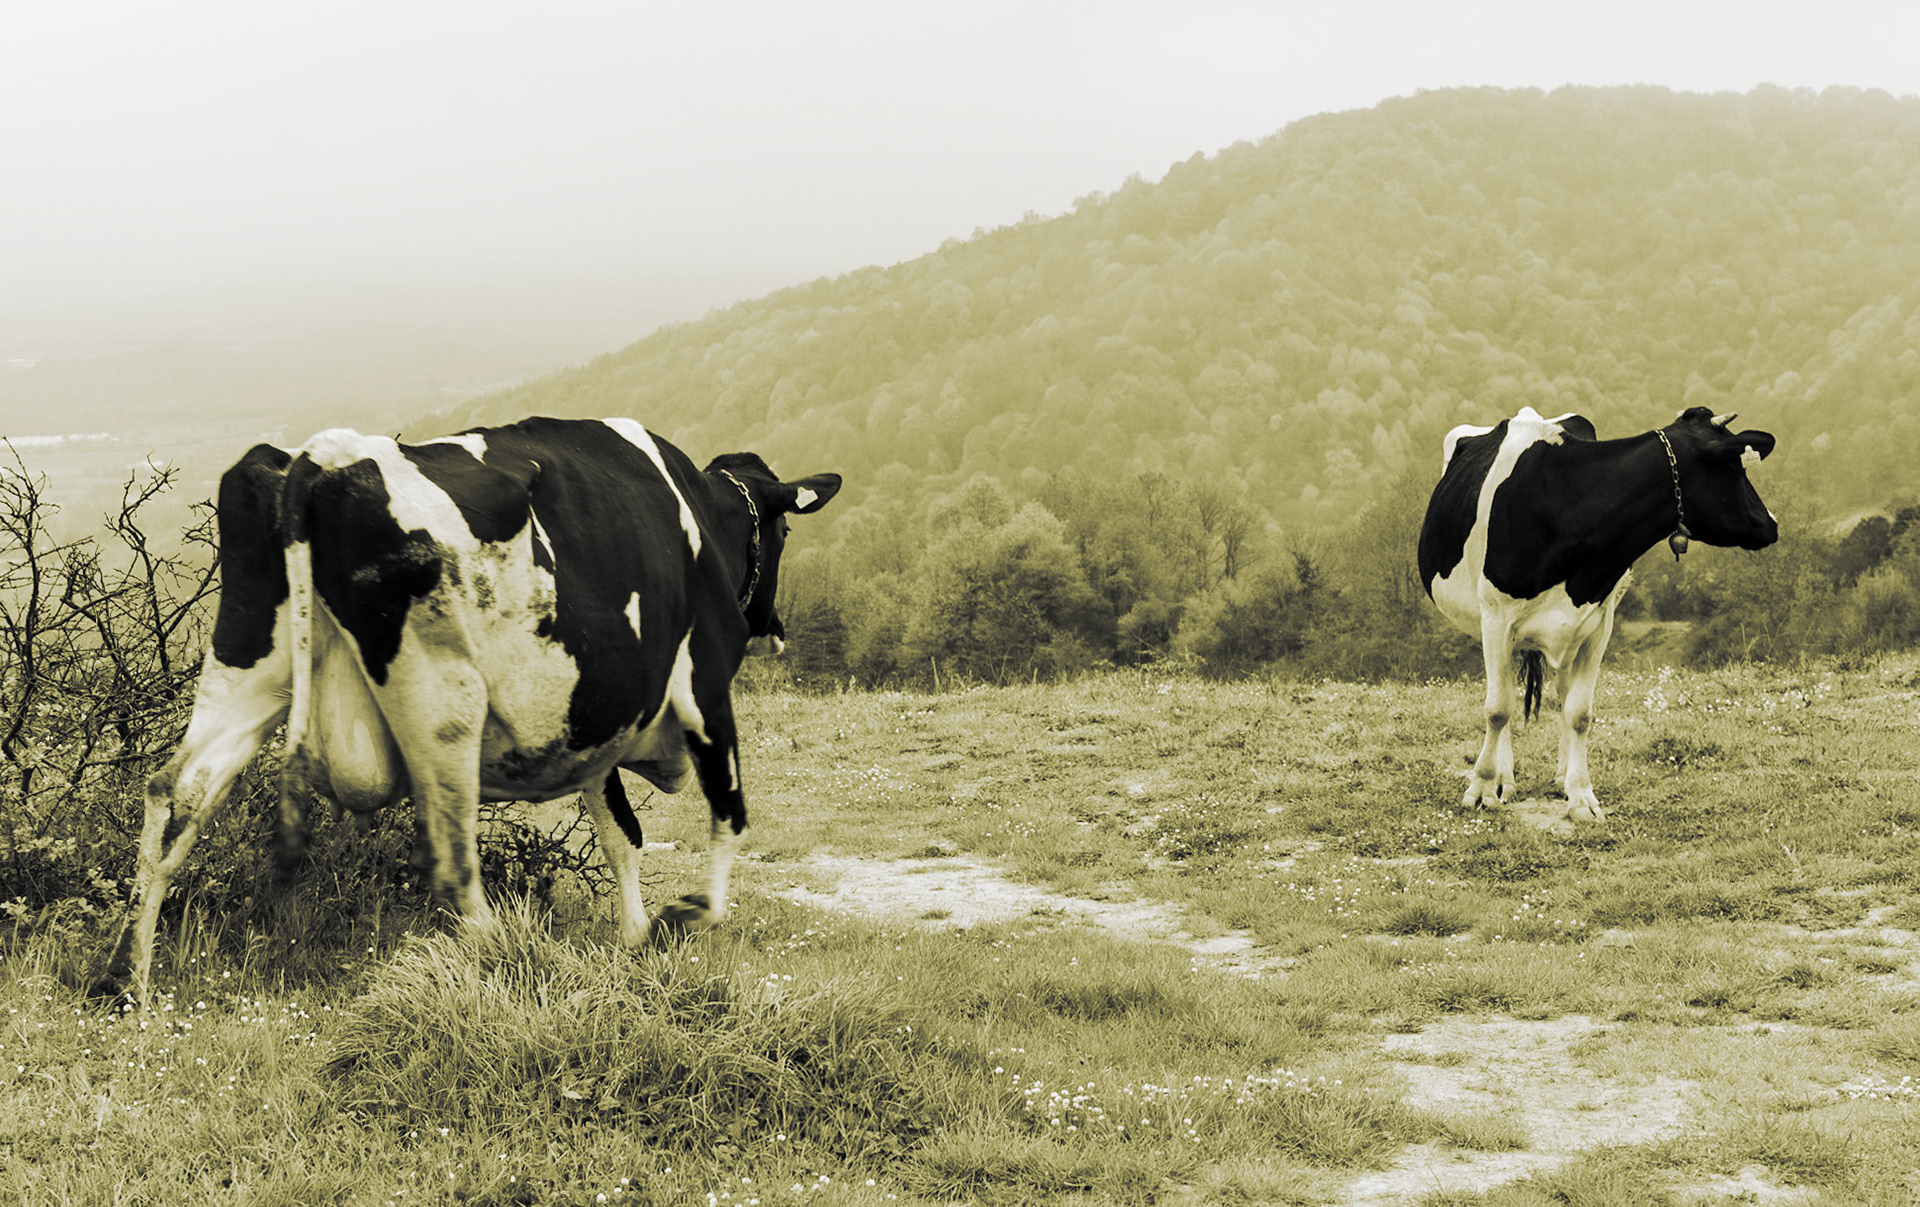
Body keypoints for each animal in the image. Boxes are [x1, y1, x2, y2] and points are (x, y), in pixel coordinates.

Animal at [101, 416, 840, 1001]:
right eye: (780, 534)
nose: (772, 621)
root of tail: (325, 457)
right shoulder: (704, 688)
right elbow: (728, 822)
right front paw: (677, 920)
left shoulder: (591, 722)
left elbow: (621, 834)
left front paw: (634, 940)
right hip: (445, 702)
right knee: (456, 873)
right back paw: (518, 975)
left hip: (247, 668)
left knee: (173, 795)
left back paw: (126, 982)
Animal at [1417, 405, 1777, 821]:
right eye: (1736, 468)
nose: (1771, 523)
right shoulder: (1496, 616)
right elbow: (1497, 708)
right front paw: (1482, 788)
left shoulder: (1600, 622)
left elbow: (1579, 712)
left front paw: (1580, 795)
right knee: (1503, 691)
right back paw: (1505, 778)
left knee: (1560, 691)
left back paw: (1560, 775)